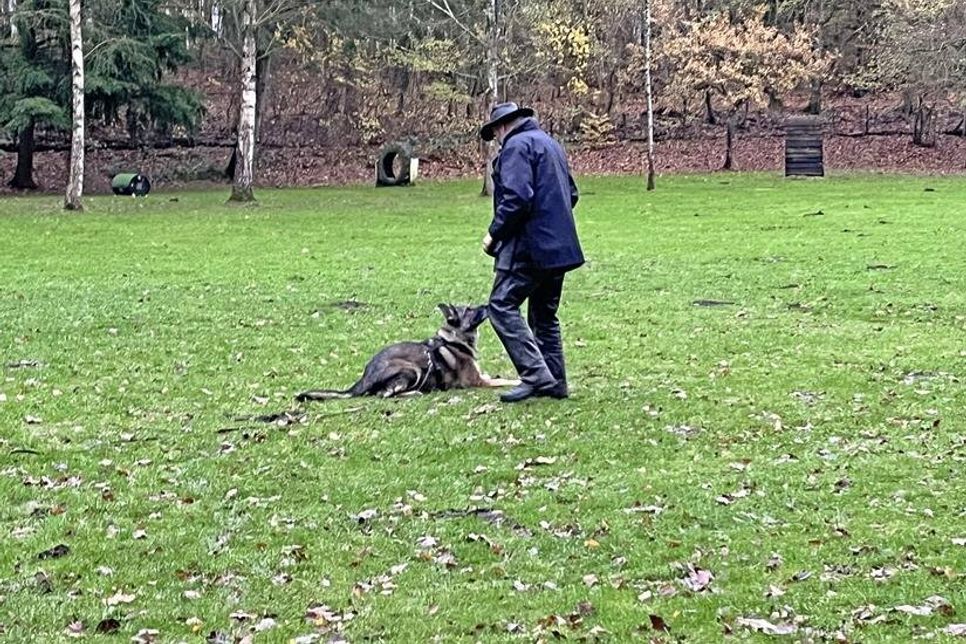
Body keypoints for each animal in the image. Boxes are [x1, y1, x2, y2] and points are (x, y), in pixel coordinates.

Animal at [296, 304, 520, 402]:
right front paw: (519, 381)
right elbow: (504, 380)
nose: (488, 304)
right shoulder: (479, 381)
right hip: (412, 369)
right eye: (470, 310)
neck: (454, 340)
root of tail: (363, 379)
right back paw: (414, 393)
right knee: (384, 394)